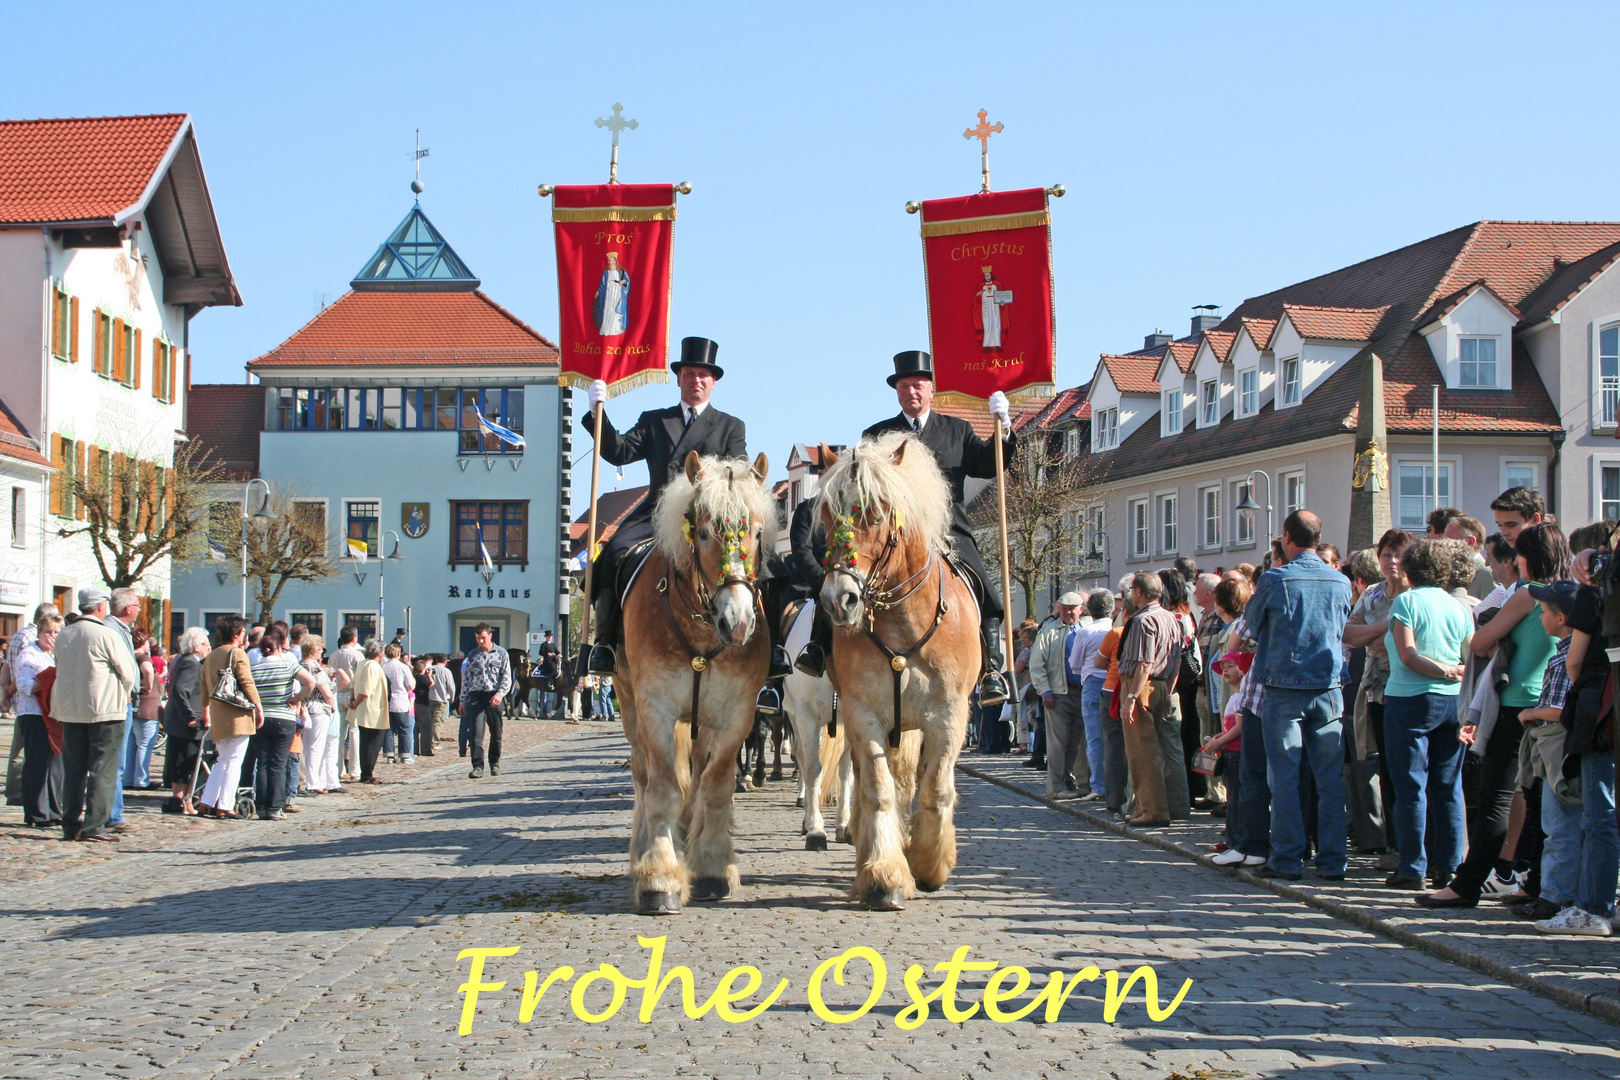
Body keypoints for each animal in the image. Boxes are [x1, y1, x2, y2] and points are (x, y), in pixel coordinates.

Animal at [615, 453, 774, 919]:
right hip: (628, 702)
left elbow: (716, 787)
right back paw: (644, 849)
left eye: (758, 532)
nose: (737, 623)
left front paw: (713, 868)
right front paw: (659, 877)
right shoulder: (655, 708)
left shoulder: (738, 713)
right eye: (703, 533)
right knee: (643, 775)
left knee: (698, 775)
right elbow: (663, 788)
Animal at [810, 433, 972, 913]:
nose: (838, 600)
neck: (904, 621)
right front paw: (885, 873)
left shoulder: (949, 717)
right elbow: (879, 789)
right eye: (828, 516)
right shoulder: (864, 716)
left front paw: (929, 862)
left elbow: (935, 788)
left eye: (876, 513)